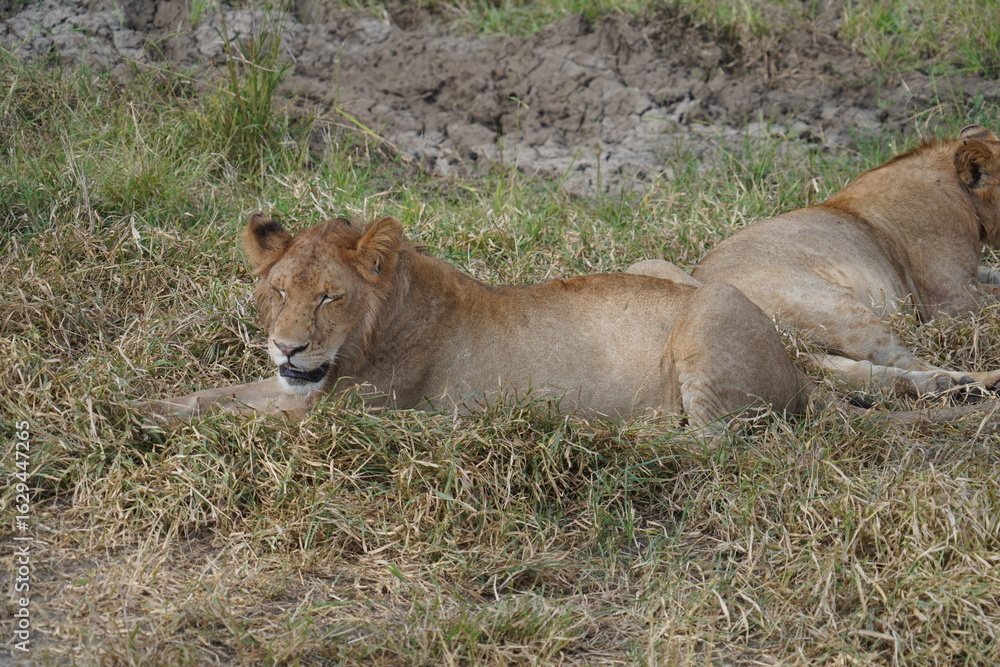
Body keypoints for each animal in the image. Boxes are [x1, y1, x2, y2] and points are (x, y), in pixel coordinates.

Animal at [143, 214, 814, 429]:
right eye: (278, 291)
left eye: (330, 298)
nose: (286, 348)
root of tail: (799, 376)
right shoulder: (299, 389)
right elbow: (217, 395)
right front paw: (140, 408)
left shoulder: (346, 414)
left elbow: (239, 419)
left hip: (715, 307)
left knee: (713, 442)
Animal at [691, 124, 1000, 396]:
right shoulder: (953, 303)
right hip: (838, 309)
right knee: (901, 359)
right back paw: (974, 382)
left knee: (856, 371)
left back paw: (947, 385)